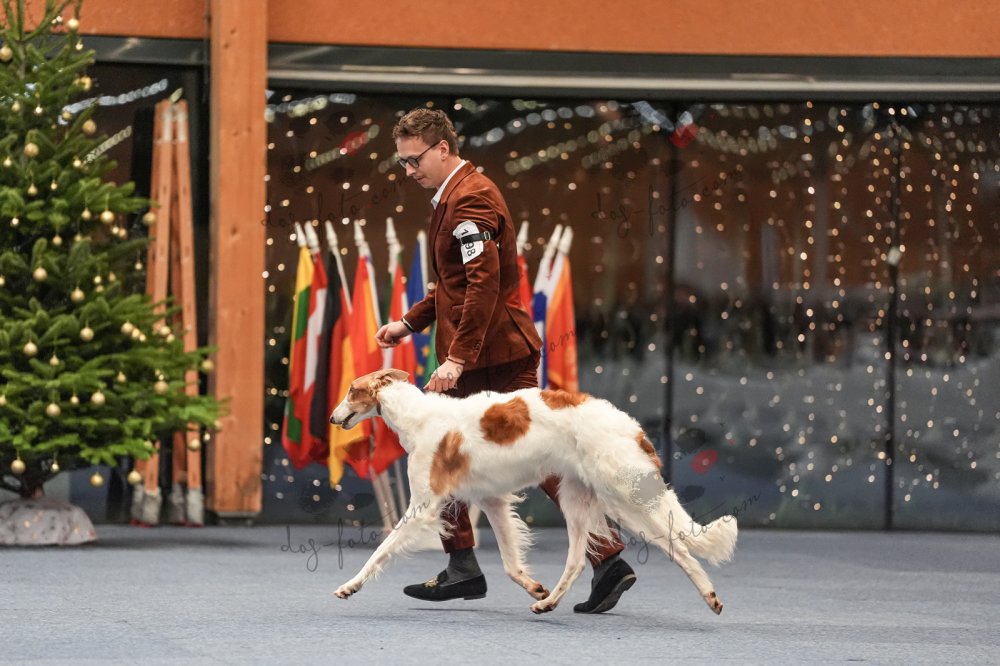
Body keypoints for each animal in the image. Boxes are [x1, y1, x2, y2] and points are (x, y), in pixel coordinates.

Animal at [329, 368, 737, 615]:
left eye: (351, 390)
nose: (332, 418)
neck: (418, 416)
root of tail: (633, 428)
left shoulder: (425, 506)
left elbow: (381, 551)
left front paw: (349, 586)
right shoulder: (491, 500)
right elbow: (512, 565)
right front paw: (533, 588)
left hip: (626, 499)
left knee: (680, 549)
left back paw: (711, 597)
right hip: (578, 500)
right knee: (576, 561)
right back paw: (549, 602)